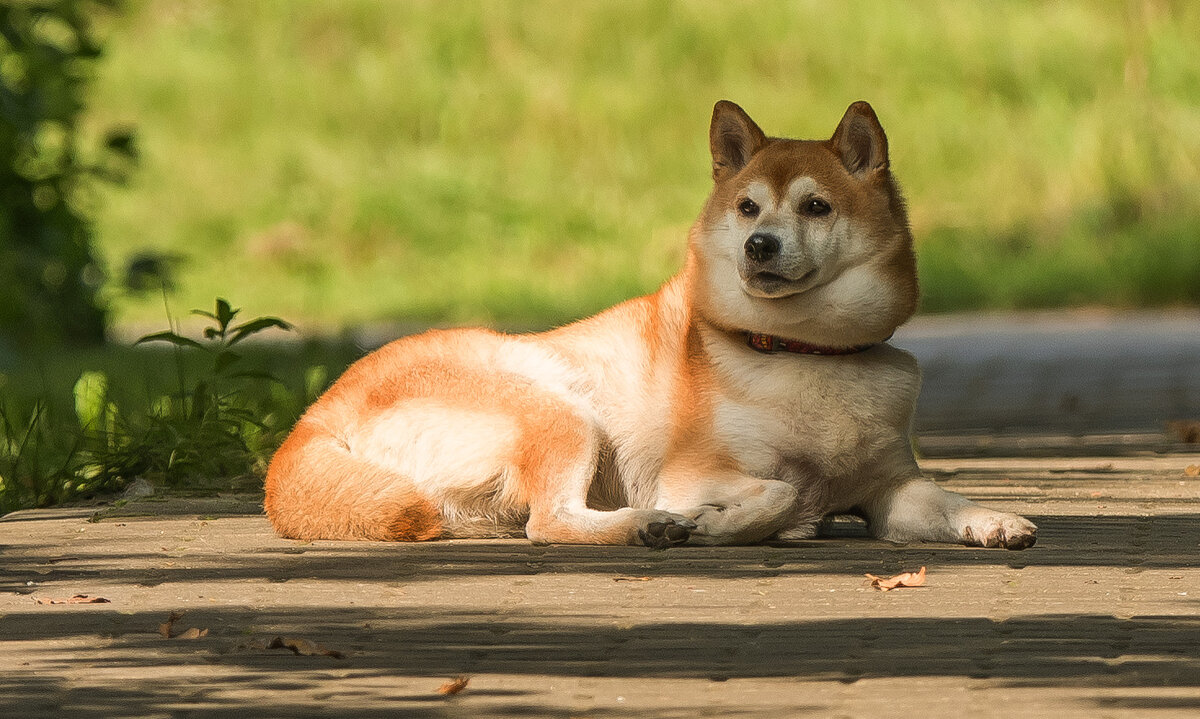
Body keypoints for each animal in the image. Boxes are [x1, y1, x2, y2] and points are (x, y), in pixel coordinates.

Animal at [267, 99, 1036, 552]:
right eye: (748, 207)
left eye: (816, 206)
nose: (759, 246)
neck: (805, 352)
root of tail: (318, 412)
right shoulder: (694, 474)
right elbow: (779, 490)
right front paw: (733, 525)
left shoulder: (889, 490)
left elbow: (946, 498)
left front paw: (996, 521)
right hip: (562, 410)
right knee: (551, 522)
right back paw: (648, 527)